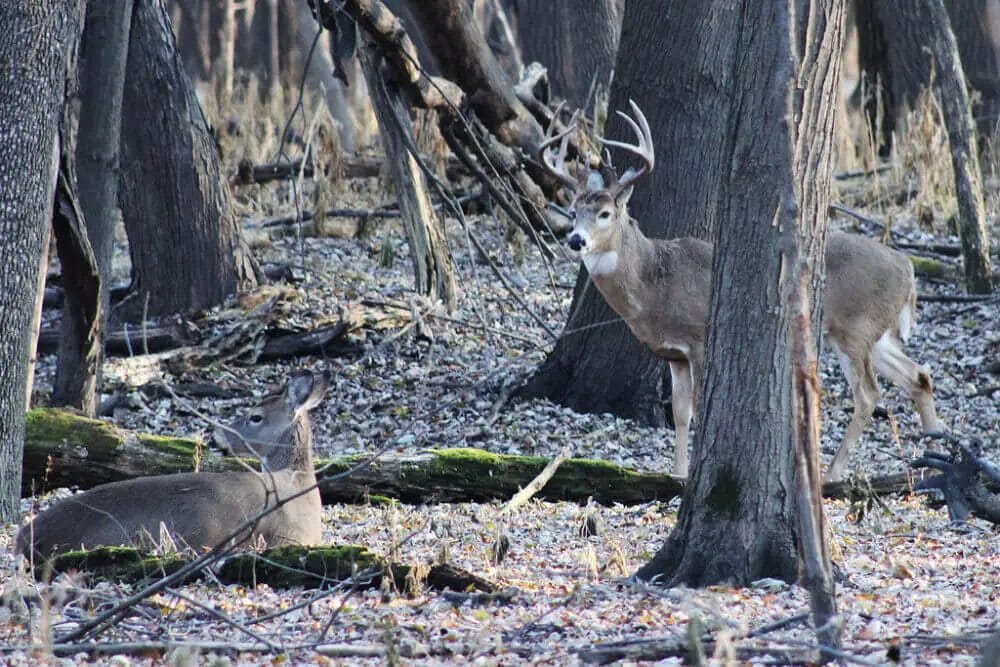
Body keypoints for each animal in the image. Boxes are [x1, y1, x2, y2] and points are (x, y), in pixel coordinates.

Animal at [539, 100, 941, 483]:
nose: (575, 240)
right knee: (919, 375)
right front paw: (678, 473)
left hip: (854, 329)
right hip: (876, 332)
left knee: (869, 394)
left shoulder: (700, 337)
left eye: (605, 213)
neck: (654, 283)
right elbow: (681, 413)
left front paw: (691, 472)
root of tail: (907, 267)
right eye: (573, 211)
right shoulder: (674, 353)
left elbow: (699, 407)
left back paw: (833, 473)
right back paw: (935, 457)